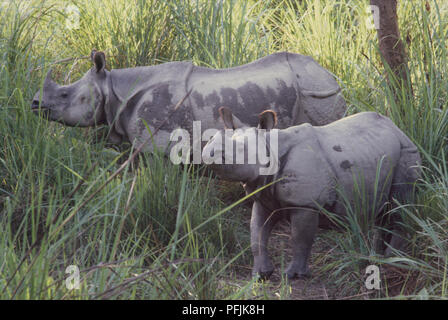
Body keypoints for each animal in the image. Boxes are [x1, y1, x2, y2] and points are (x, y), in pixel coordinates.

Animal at [31, 50, 346, 151]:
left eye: (65, 94)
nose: (34, 104)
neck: (112, 89)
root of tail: (329, 75)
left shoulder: (157, 138)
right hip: (316, 90)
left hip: (318, 94)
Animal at [202, 107, 420, 278]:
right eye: (212, 139)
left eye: (240, 150)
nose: (208, 153)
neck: (271, 147)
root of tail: (398, 129)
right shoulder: (264, 198)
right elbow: (257, 235)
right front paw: (260, 275)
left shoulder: (305, 203)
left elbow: (299, 238)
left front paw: (293, 275)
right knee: (382, 211)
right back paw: (376, 256)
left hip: (407, 153)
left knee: (399, 206)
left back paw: (393, 259)